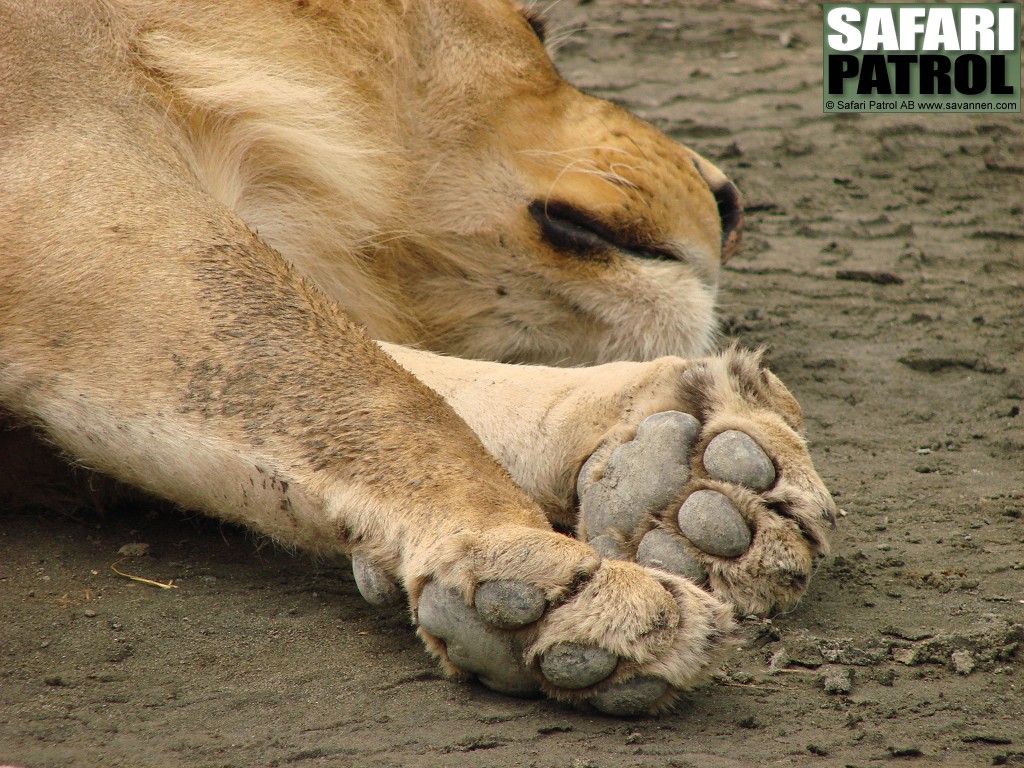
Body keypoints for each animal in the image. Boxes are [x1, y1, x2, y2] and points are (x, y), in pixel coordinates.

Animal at [0, 0, 831, 716]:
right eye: (535, 28)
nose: (730, 202)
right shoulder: (82, 185)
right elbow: (359, 385)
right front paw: (536, 568)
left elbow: (412, 375)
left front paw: (694, 471)